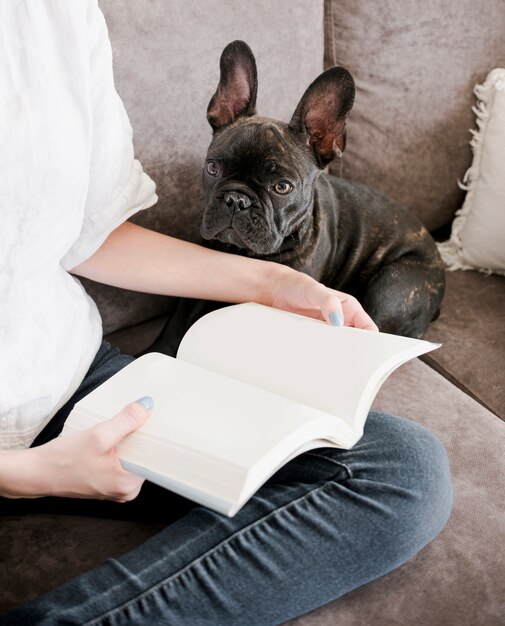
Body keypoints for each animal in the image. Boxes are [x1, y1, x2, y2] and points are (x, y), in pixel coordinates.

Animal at [148, 40, 442, 356]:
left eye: (282, 187)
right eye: (213, 168)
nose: (237, 200)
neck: (242, 253)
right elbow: (177, 320)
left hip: (394, 286)